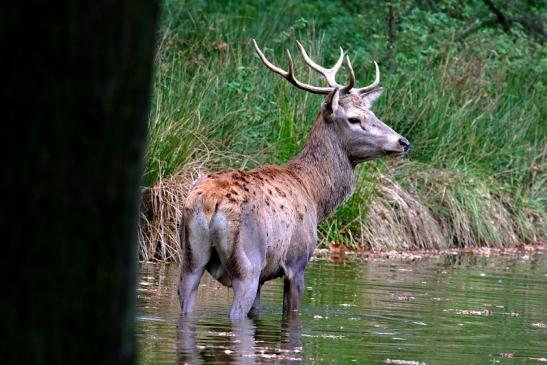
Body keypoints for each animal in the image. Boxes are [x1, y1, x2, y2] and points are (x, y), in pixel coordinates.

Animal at [178, 40, 408, 318]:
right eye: (354, 119)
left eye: (372, 114)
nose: (403, 142)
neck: (314, 194)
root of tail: (211, 204)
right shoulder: (296, 263)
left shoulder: (264, 277)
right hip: (247, 263)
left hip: (190, 258)